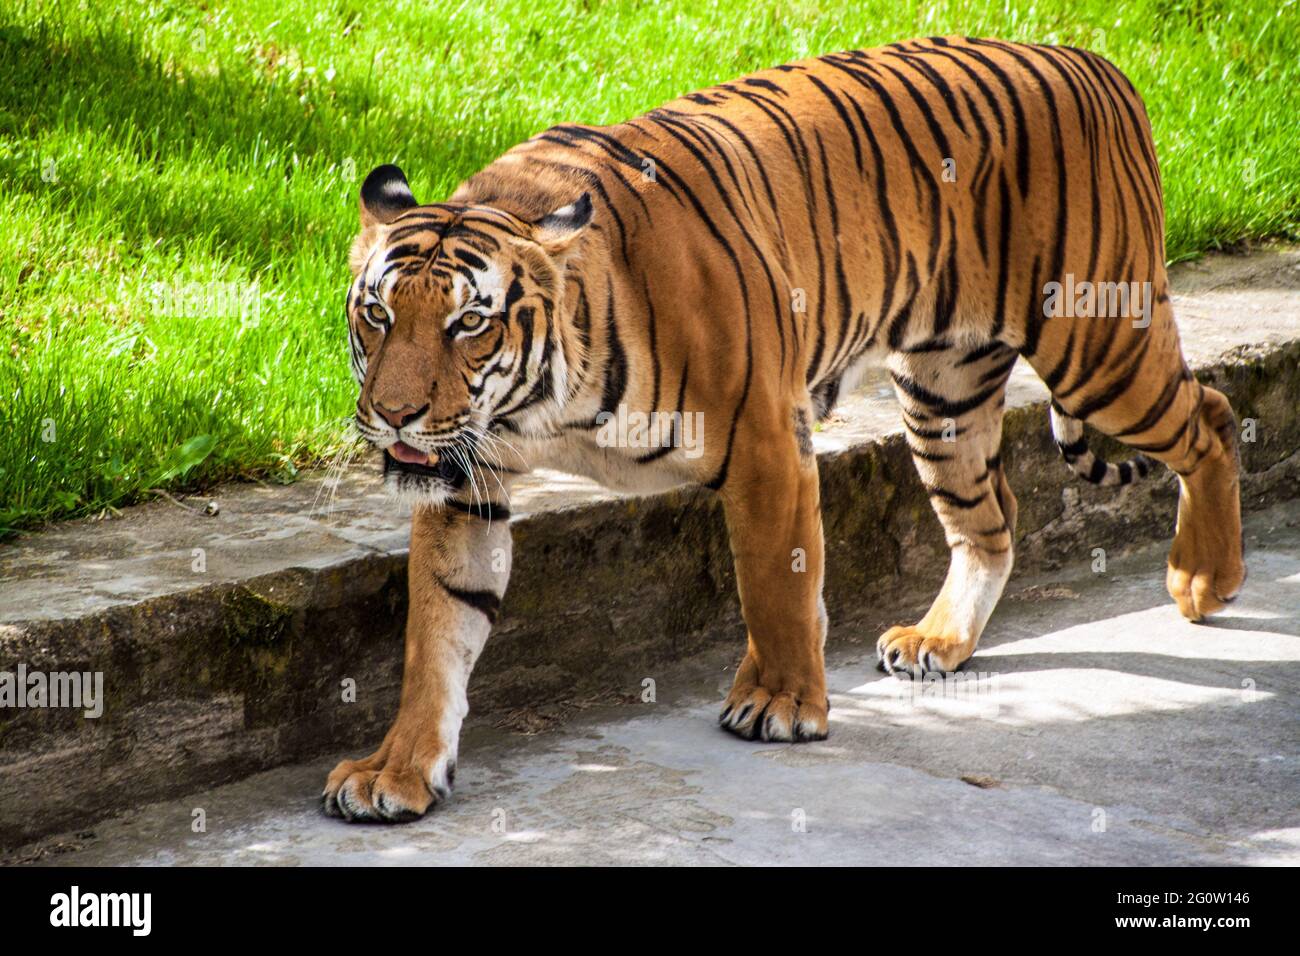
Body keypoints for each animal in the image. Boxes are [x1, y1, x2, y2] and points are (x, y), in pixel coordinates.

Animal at [319, 33, 1242, 816]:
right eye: (377, 314)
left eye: (468, 324)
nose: (395, 414)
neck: (542, 401)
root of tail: (1096, 61)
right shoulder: (464, 482)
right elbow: (437, 637)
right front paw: (396, 771)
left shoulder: (764, 436)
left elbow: (776, 582)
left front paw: (783, 701)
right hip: (941, 395)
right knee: (992, 521)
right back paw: (939, 639)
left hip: (1101, 346)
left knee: (1213, 417)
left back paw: (1204, 577)